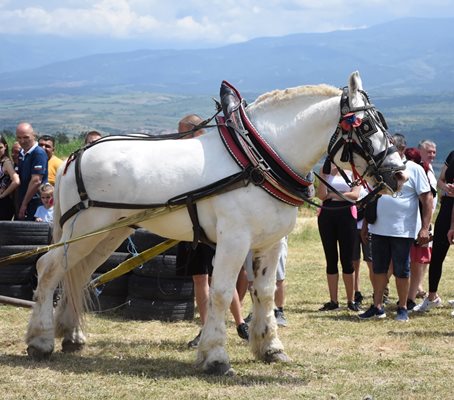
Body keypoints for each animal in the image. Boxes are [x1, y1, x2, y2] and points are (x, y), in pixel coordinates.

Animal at [26, 72, 406, 376]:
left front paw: (270, 347)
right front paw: (215, 357)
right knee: (49, 268)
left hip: (108, 233)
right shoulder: (234, 240)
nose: (399, 173)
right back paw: (40, 340)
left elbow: (265, 293)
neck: (259, 158)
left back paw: (71, 335)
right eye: (367, 126)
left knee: (78, 273)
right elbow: (221, 293)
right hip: (83, 228)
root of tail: (77, 155)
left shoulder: (269, 243)